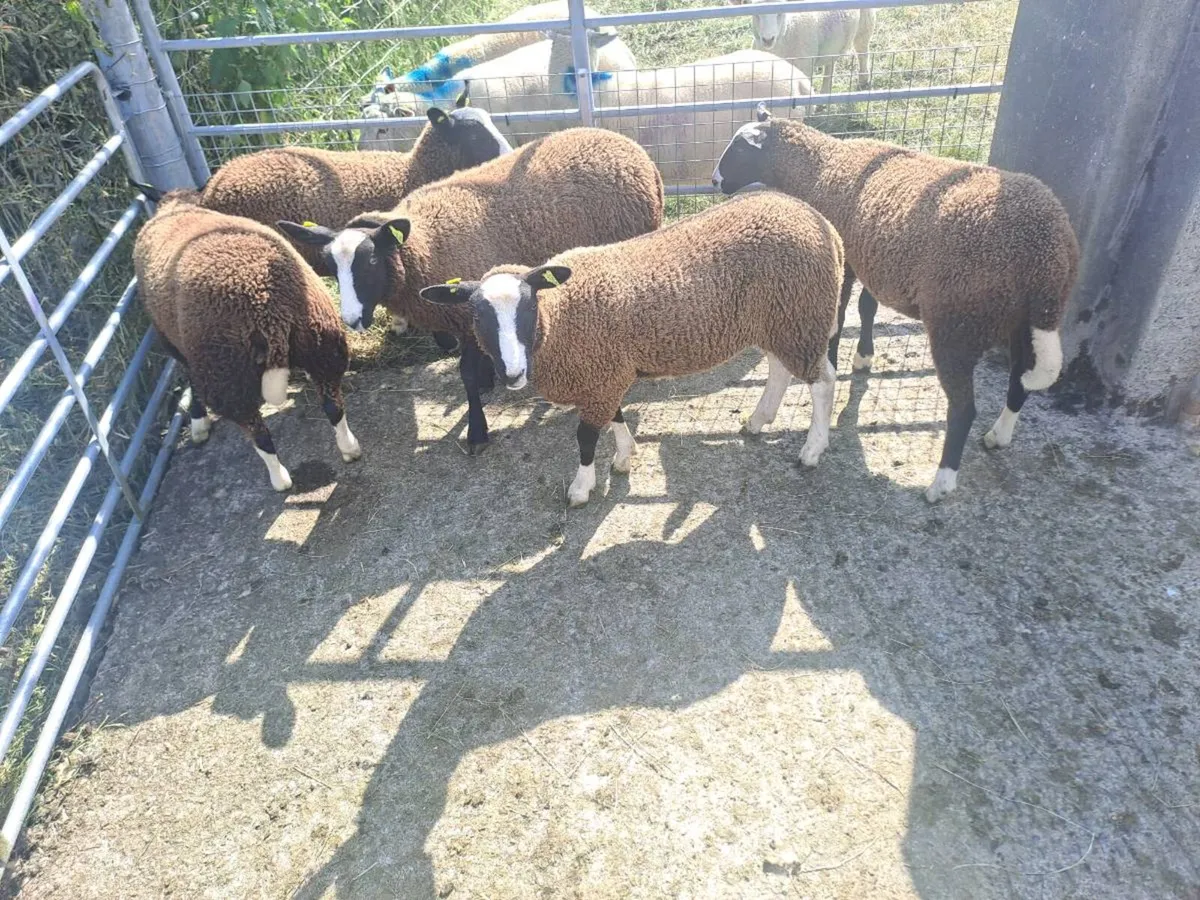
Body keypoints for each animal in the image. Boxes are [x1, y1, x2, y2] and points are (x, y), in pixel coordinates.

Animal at [132, 188, 360, 492]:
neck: (178, 208)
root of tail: (267, 308)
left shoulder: (171, 341)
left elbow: (188, 379)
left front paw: (198, 422)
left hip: (225, 371)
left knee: (259, 434)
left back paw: (280, 480)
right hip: (322, 341)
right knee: (334, 406)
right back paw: (349, 448)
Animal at [277, 126, 664, 455]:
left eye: (369, 261)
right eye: (330, 264)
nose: (352, 319)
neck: (424, 243)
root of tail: (626, 144)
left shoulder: (465, 318)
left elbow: (465, 375)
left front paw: (477, 430)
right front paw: (488, 379)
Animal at [418, 190, 842, 506]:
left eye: (529, 307)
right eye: (477, 315)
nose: (512, 373)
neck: (561, 315)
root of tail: (818, 221)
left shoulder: (601, 372)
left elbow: (586, 437)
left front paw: (581, 487)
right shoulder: (606, 371)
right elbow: (616, 416)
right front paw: (624, 456)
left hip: (801, 313)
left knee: (822, 381)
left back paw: (812, 450)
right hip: (780, 318)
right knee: (780, 369)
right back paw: (758, 420)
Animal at [712, 107, 1080, 503]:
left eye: (738, 150)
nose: (715, 182)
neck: (820, 167)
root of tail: (1048, 255)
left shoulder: (846, 260)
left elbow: (840, 315)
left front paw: (835, 357)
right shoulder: (872, 258)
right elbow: (867, 308)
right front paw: (863, 357)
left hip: (957, 324)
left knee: (964, 409)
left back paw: (941, 483)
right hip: (1018, 323)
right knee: (1019, 381)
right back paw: (999, 435)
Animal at [729, 0, 875, 98]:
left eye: (781, 12)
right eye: (755, 13)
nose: (768, 39)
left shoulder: (804, 68)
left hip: (866, 21)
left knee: (862, 51)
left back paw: (863, 80)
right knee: (830, 63)